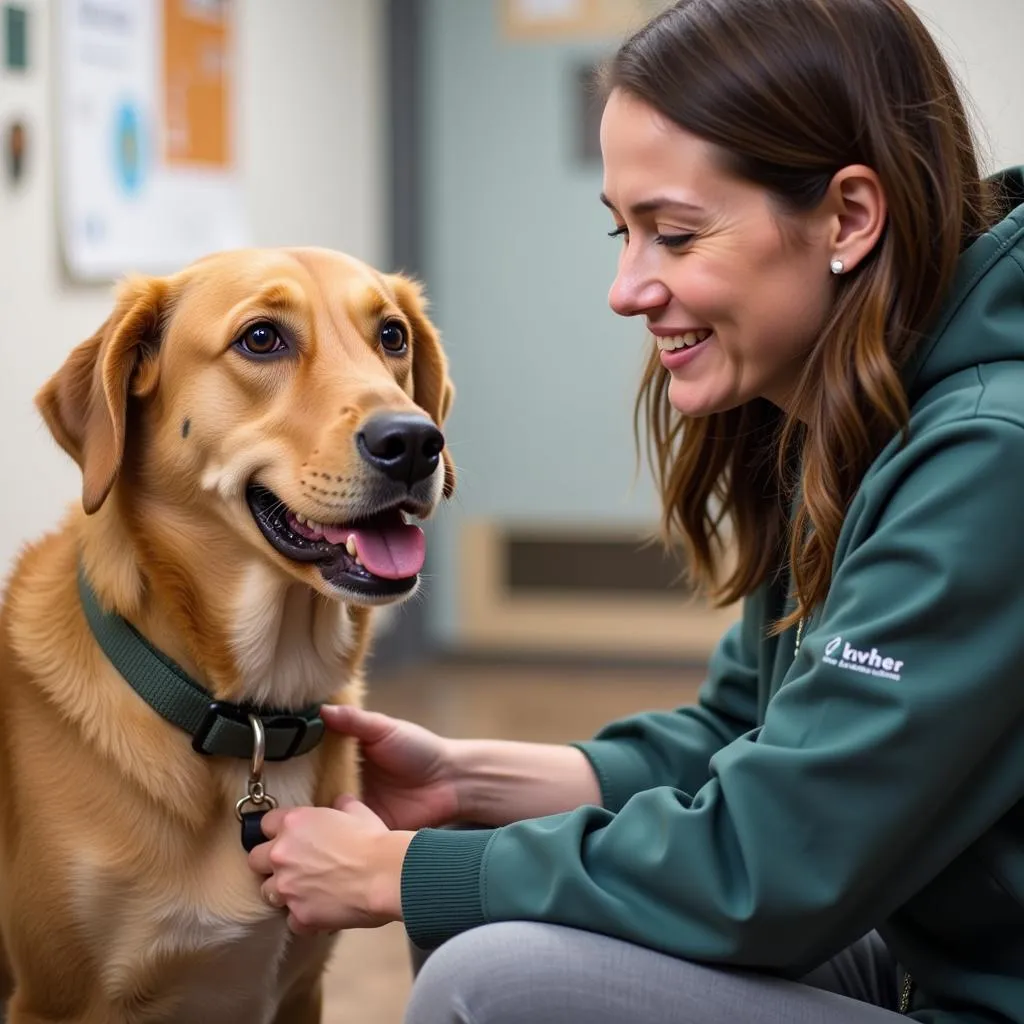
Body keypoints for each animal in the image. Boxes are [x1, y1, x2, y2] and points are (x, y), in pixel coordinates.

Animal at [0, 247, 452, 1024]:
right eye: (261, 339)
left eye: (392, 337)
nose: (416, 442)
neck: (254, 715)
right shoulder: (54, 1003)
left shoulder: (300, 988)